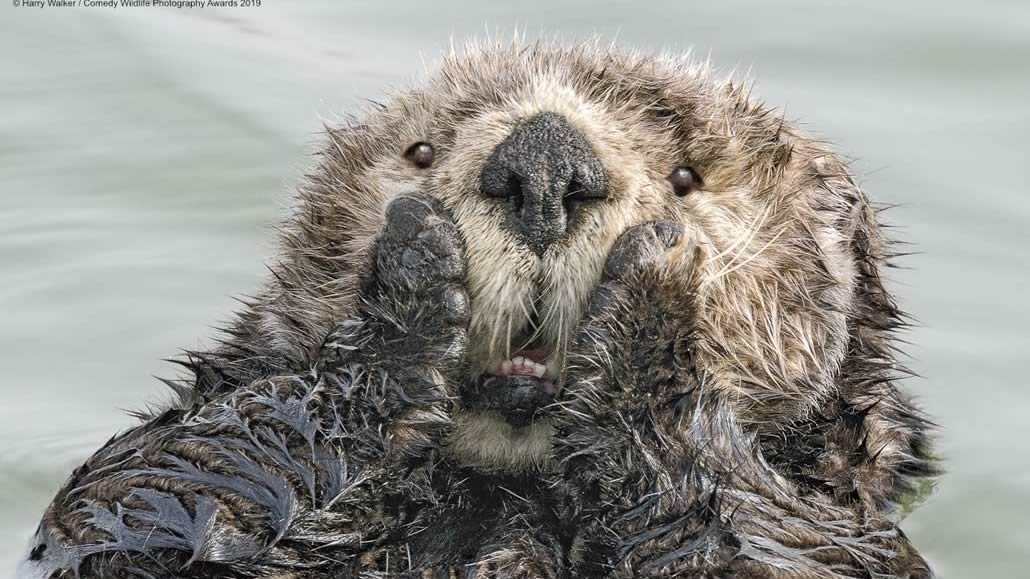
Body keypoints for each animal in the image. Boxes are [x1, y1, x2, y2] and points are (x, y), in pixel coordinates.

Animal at [16, 42, 939, 572]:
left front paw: (655, 292)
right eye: (422, 151)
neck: (512, 495)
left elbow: (778, 549)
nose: (543, 161)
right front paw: (413, 273)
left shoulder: (843, 528)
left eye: (688, 177)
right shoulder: (131, 509)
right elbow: (137, 493)